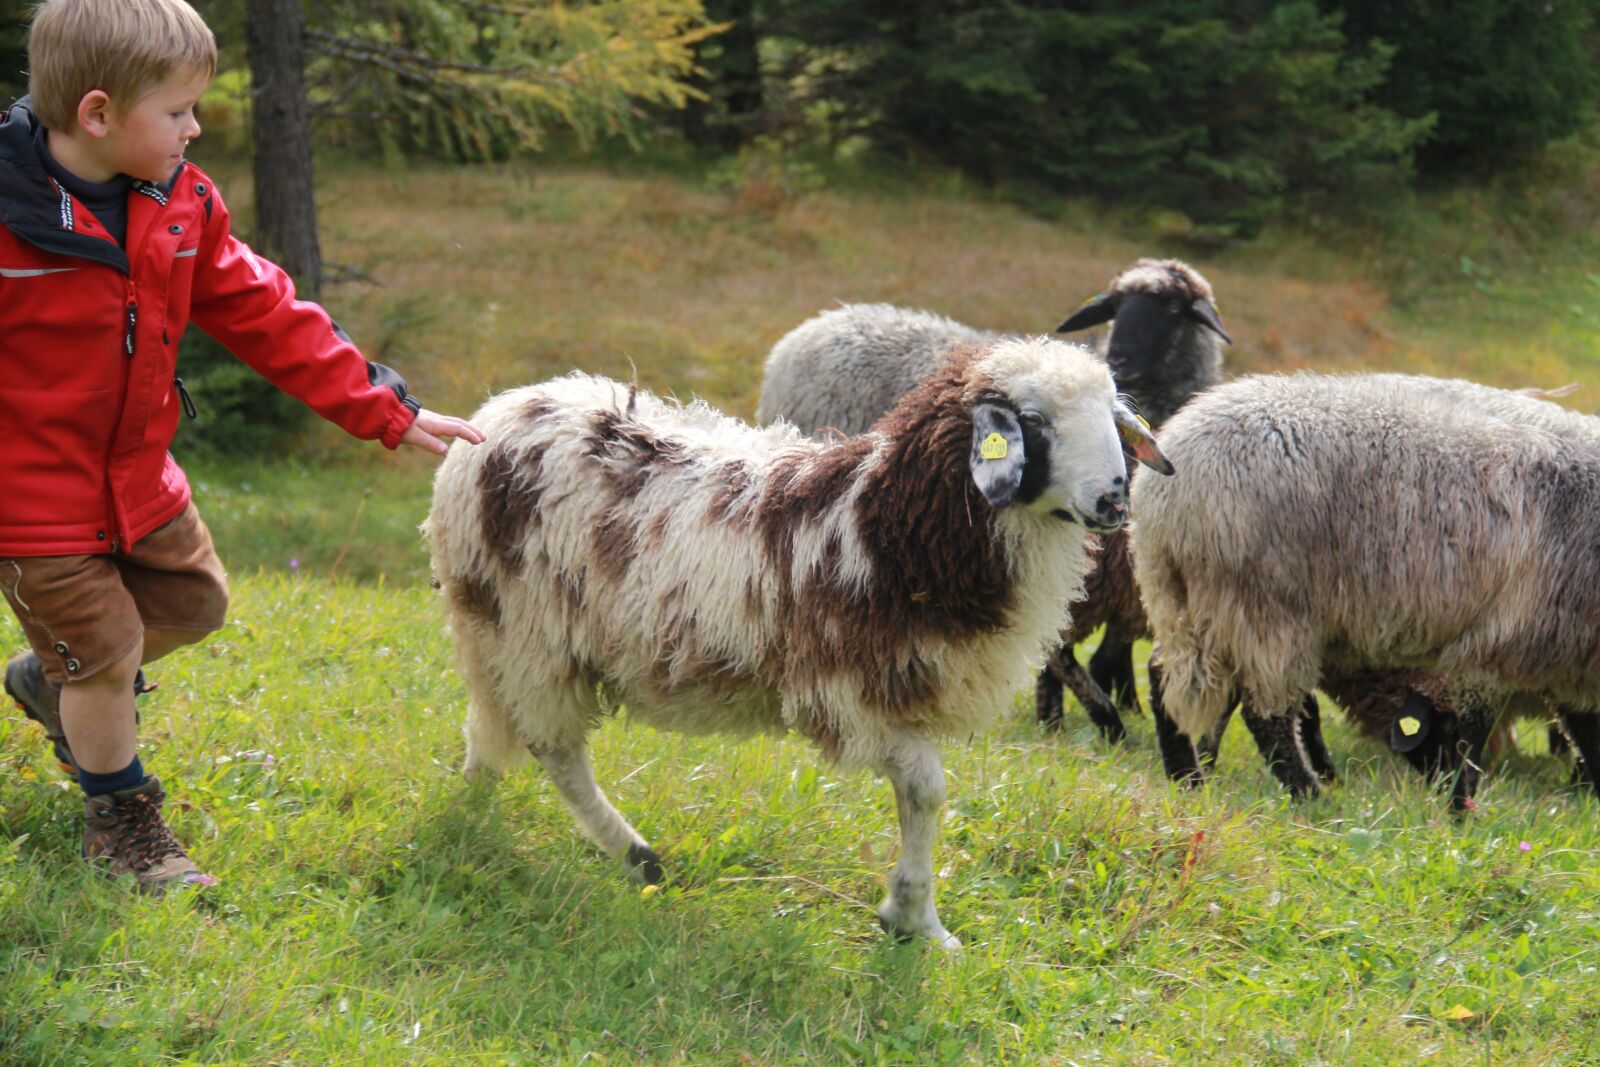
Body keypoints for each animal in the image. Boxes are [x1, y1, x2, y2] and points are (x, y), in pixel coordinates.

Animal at [426, 337, 1174, 949]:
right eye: (1036, 421)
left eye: (1113, 416)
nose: (1115, 500)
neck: (888, 528)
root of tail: (501, 411)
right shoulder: (844, 693)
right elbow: (927, 791)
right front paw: (914, 918)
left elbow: (920, 800)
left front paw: (915, 924)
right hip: (530, 634)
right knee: (557, 752)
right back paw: (631, 852)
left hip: (502, 632)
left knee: (494, 725)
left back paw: (479, 803)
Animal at [1130, 371, 1600, 810]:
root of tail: (1164, 493)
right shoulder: (1494, 645)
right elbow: (1474, 739)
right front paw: (1461, 810)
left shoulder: (1568, 657)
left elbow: (1586, 731)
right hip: (1265, 608)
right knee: (1266, 715)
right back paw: (1310, 796)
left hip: (1178, 596)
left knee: (1162, 673)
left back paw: (1188, 778)